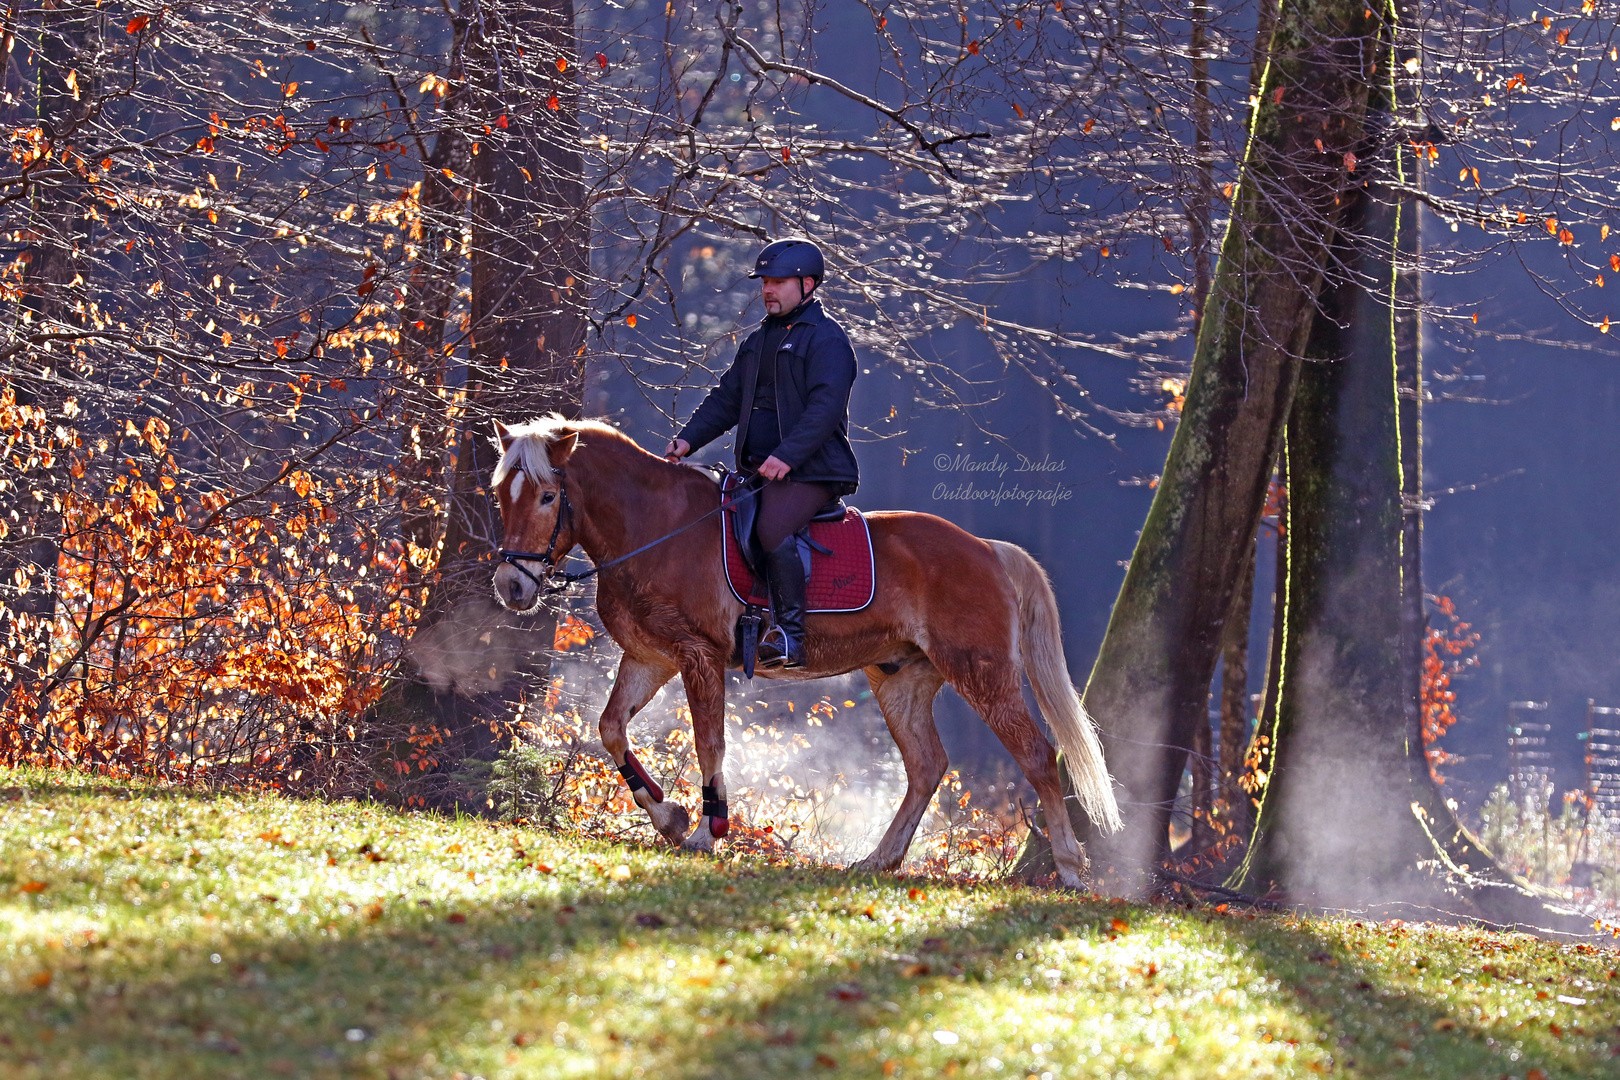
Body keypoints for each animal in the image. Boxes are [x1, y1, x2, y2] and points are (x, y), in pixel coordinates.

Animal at [486, 414, 1121, 887]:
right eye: (499, 495)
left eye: (548, 496)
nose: (511, 587)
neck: (654, 527)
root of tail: (987, 549)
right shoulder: (651, 658)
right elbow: (610, 726)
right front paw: (670, 816)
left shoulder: (698, 657)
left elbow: (709, 742)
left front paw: (705, 833)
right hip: (899, 679)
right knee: (925, 766)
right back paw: (879, 860)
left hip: (981, 672)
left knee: (1036, 756)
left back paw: (1070, 870)